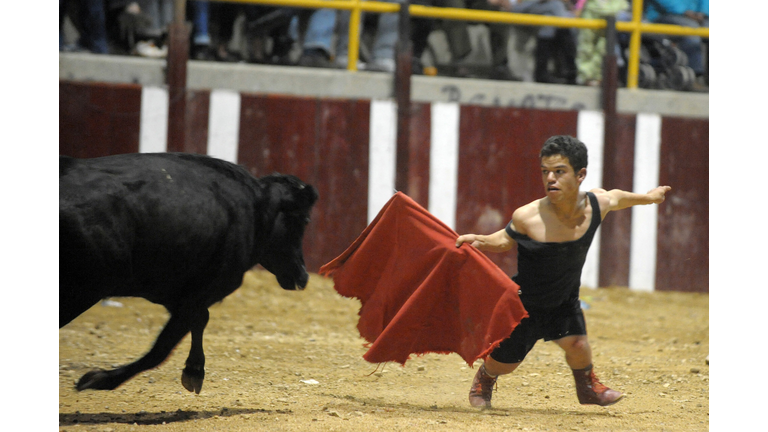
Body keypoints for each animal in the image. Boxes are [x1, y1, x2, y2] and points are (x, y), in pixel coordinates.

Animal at [59, 154, 318, 394]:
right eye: (304, 219)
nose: (303, 276)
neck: (257, 208)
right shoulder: (196, 296)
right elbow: (162, 348)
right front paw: (99, 379)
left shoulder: (177, 295)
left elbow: (197, 321)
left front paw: (194, 370)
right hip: (82, 291)